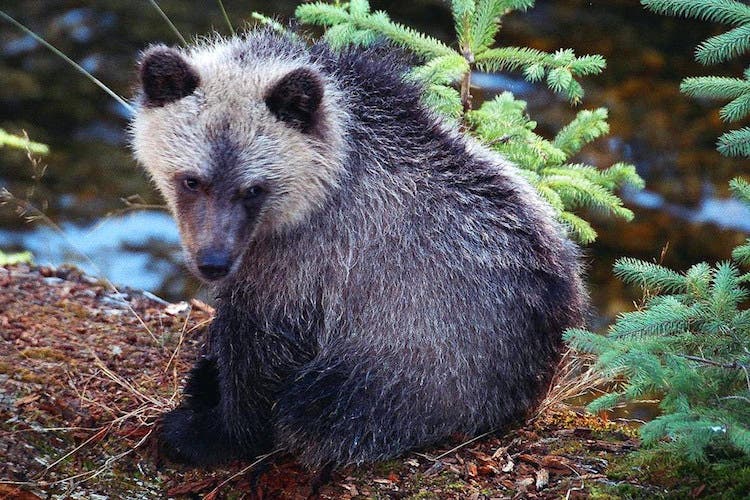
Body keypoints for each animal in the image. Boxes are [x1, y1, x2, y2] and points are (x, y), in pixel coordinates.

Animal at [130, 28, 587, 468]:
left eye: (254, 188)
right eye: (191, 179)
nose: (213, 262)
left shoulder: (311, 263)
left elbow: (263, 352)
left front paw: (206, 432)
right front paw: (205, 380)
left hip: (437, 357)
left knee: (324, 407)